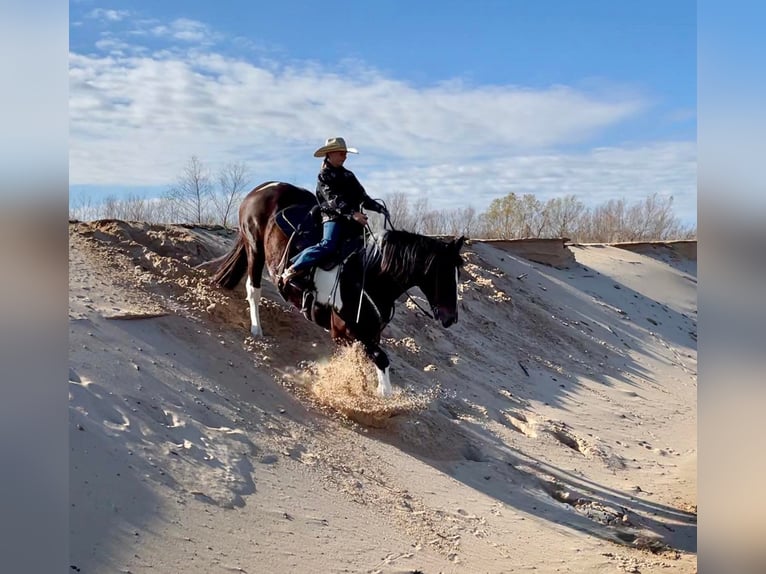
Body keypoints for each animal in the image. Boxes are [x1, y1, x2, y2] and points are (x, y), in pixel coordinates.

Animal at [207, 182, 464, 398]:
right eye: (442, 275)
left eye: (458, 274)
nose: (450, 318)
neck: (367, 276)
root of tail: (261, 188)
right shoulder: (344, 333)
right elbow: (380, 359)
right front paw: (381, 394)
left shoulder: (370, 334)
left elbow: (366, 361)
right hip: (254, 246)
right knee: (253, 289)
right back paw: (256, 328)